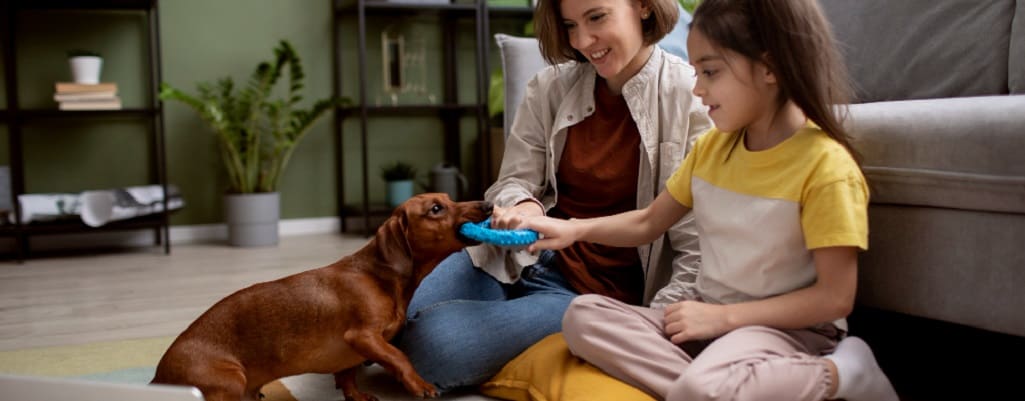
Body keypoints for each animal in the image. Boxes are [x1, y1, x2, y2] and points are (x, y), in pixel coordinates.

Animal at [149, 192, 496, 399]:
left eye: (448, 198)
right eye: (436, 208)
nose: (489, 205)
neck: (380, 277)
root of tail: (156, 380)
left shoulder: (354, 351)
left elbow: (348, 376)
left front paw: (356, 395)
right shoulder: (363, 336)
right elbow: (399, 357)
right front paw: (419, 384)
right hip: (231, 379)